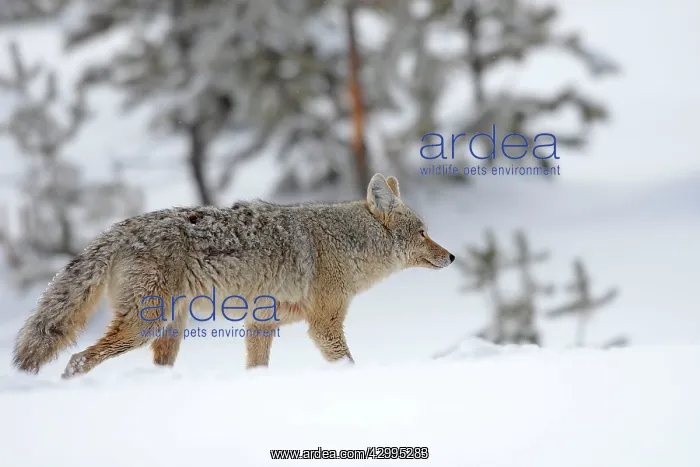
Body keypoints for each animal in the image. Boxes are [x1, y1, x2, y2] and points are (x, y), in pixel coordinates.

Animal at [12, 173, 454, 379]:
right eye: (423, 233)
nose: (451, 255)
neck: (346, 243)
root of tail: (122, 228)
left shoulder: (261, 323)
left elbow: (256, 368)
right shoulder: (323, 324)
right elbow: (346, 361)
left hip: (169, 333)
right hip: (143, 326)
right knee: (78, 360)